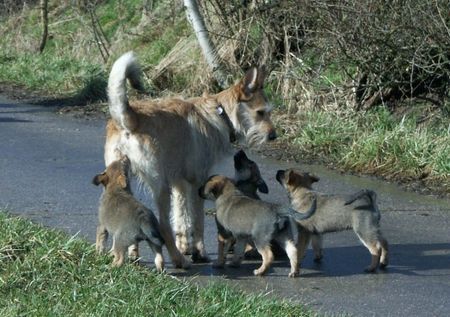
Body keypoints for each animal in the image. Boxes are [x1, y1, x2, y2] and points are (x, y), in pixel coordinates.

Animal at [104, 51, 278, 266]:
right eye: (260, 112)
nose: (273, 136)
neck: (219, 114)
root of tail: (130, 119)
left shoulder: (180, 184)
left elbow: (182, 220)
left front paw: (185, 247)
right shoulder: (197, 184)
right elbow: (197, 222)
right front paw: (199, 252)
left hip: (122, 178)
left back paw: (132, 252)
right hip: (161, 188)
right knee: (163, 225)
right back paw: (179, 261)